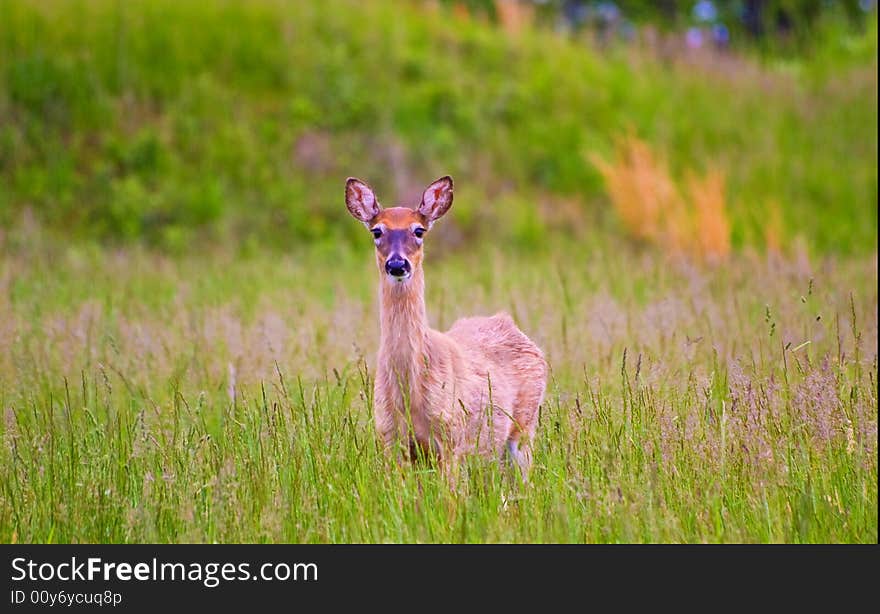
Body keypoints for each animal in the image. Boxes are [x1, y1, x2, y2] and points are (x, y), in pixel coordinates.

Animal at [346, 176, 548, 478]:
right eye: (376, 231)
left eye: (419, 230)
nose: (397, 264)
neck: (410, 393)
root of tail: (507, 321)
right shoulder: (390, 439)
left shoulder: (451, 438)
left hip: (524, 426)